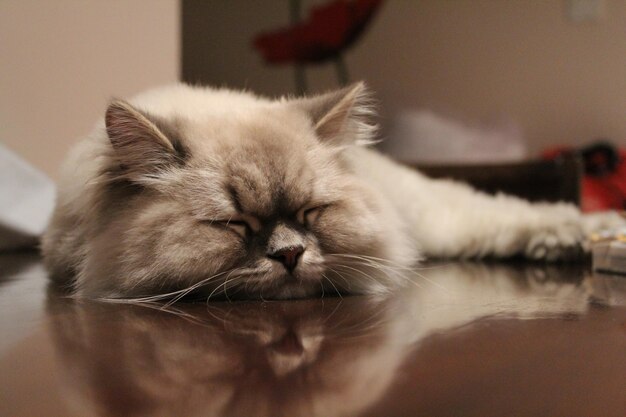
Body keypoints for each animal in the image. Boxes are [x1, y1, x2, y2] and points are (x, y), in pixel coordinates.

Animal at [41, 82, 620, 300]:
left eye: (312, 213)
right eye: (235, 224)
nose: (290, 255)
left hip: (434, 215)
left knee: (506, 213)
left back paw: (588, 233)